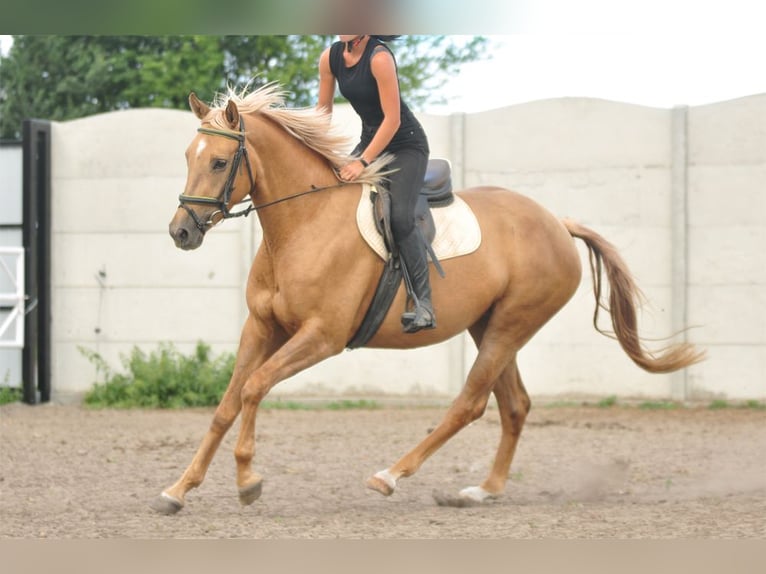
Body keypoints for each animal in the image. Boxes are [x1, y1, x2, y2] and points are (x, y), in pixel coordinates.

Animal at [153, 85, 704, 514]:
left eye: (219, 161)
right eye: (187, 158)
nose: (181, 232)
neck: (304, 224)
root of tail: (556, 222)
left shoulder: (321, 337)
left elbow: (253, 388)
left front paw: (248, 481)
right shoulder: (262, 328)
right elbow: (226, 405)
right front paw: (178, 489)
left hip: (510, 326)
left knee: (470, 403)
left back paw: (391, 476)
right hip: (491, 326)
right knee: (515, 405)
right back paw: (482, 491)